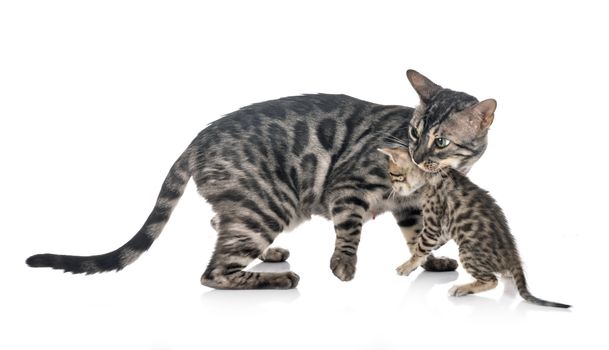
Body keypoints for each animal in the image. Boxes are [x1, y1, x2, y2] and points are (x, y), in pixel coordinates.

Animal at [380, 148, 568, 308]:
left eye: (393, 174)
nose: (392, 189)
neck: (430, 174)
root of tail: (512, 255)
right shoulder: (443, 229)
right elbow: (426, 242)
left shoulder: (433, 223)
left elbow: (421, 246)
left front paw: (408, 265)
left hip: (467, 252)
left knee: (491, 280)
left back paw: (462, 288)